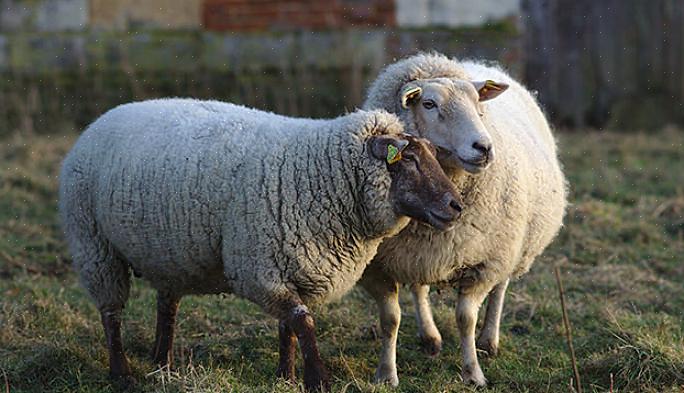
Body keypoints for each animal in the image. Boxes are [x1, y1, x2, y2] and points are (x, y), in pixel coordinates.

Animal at [60, 97, 464, 388]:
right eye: (408, 159)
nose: (455, 205)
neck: (318, 172)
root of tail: (104, 117)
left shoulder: (291, 266)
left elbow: (289, 326)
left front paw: (286, 376)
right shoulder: (259, 268)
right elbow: (303, 322)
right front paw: (317, 379)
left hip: (168, 253)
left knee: (168, 307)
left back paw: (163, 365)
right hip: (94, 246)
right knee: (111, 313)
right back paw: (122, 373)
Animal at [358, 52, 568, 386]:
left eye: (477, 104)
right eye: (429, 103)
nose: (484, 147)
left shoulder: (485, 262)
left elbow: (466, 318)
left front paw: (473, 373)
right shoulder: (377, 266)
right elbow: (390, 319)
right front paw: (386, 375)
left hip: (510, 247)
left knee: (500, 289)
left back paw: (489, 340)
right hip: (419, 253)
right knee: (419, 287)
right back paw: (430, 337)